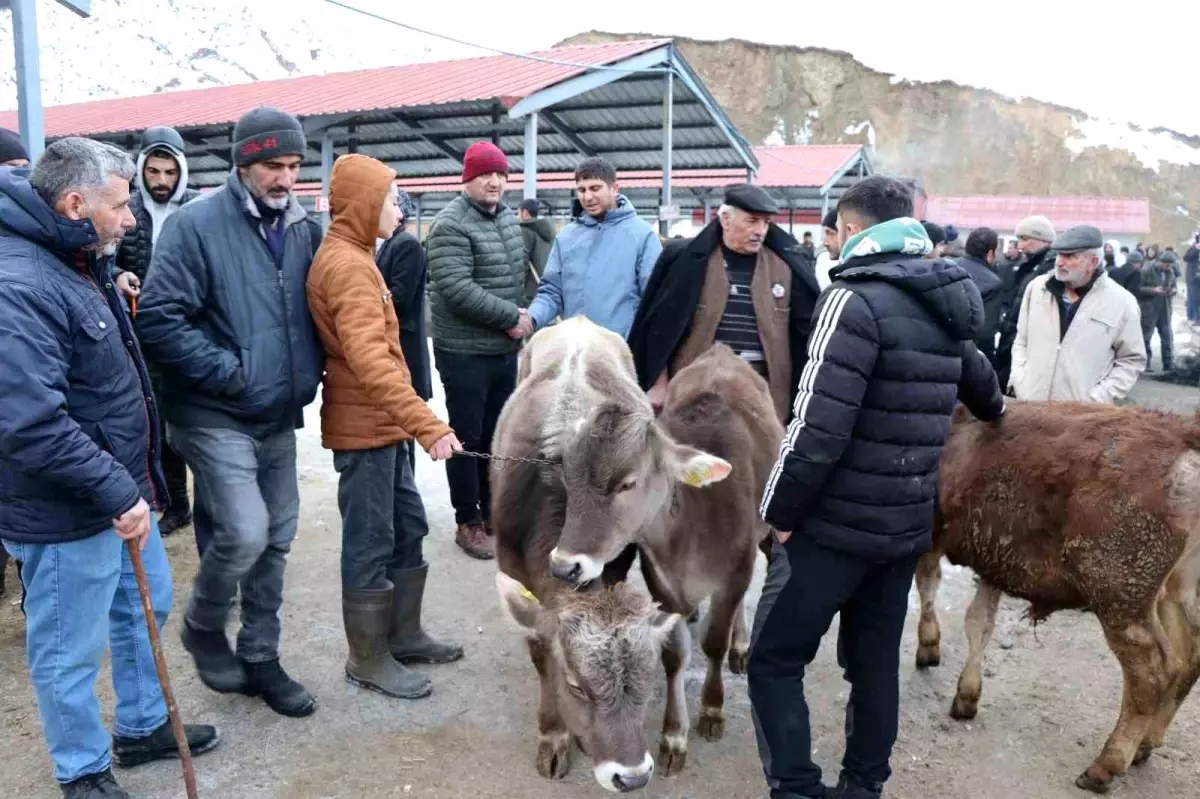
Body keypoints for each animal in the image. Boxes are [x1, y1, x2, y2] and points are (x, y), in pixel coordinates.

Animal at [487, 314, 777, 787]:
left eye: (643, 680)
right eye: (577, 685)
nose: (633, 776)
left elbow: (701, 643)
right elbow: (541, 653)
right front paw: (554, 736)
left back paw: (739, 643)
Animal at [907, 400, 1200, 791]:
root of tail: (1180, 434)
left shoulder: (930, 538)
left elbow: (928, 584)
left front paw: (929, 646)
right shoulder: (992, 560)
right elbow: (978, 622)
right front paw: (966, 695)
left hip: (1120, 595)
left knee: (1153, 671)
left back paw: (1105, 765)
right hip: (1175, 592)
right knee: (1188, 658)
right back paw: (1145, 745)